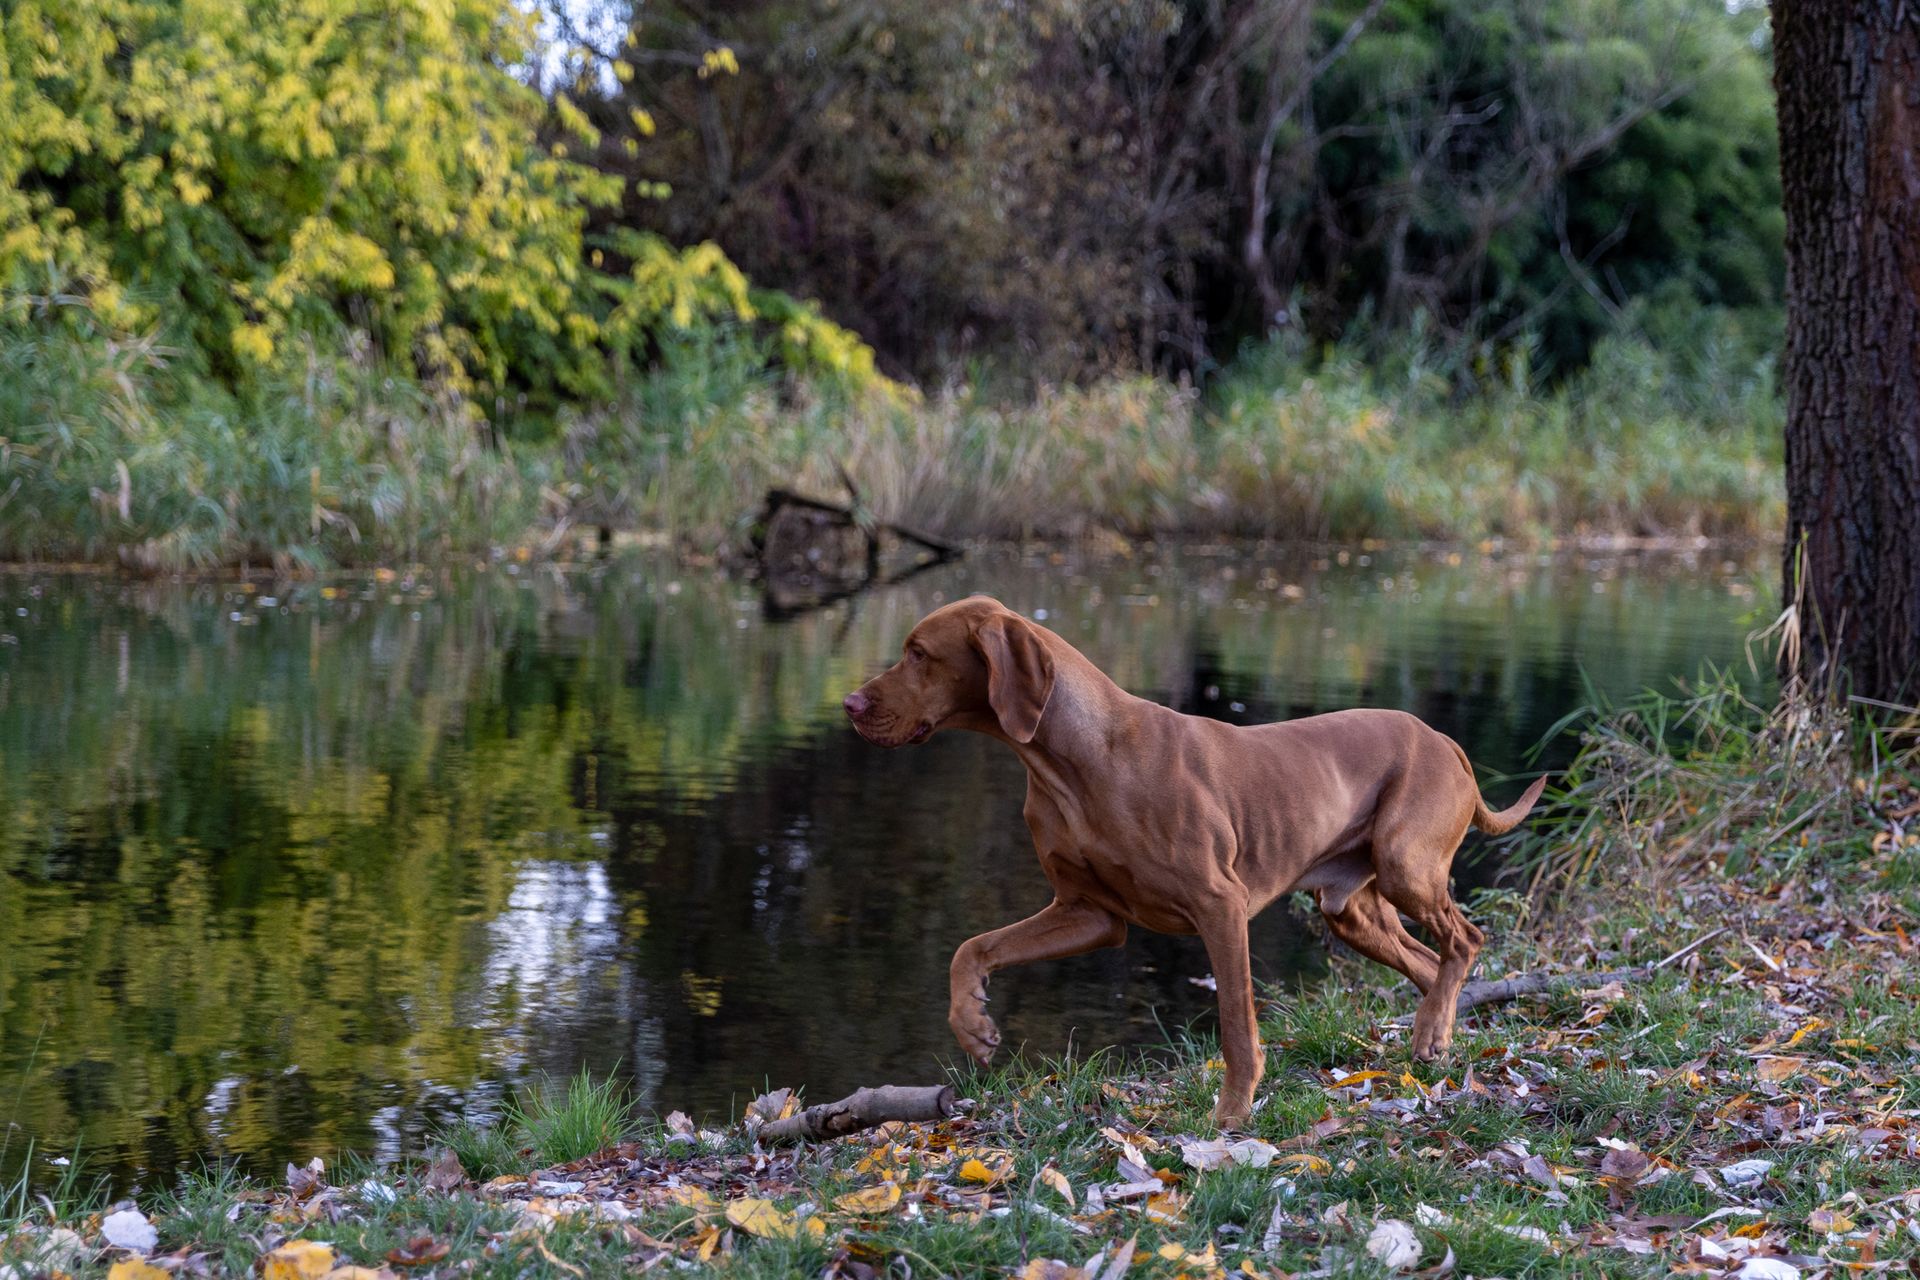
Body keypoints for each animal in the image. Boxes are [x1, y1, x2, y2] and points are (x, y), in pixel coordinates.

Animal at [843, 595, 1546, 1127]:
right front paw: (972, 1025)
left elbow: (1236, 1026)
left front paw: (1231, 1114)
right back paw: (1436, 1039)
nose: (850, 704)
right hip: (1350, 909)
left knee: (1465, 940)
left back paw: (1433, 1033)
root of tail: (1443, 740)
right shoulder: (1089, 914)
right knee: (1432, 964)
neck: (1073, 761)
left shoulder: (1220, 906)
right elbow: (972, 947)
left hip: (1405, 865)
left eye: (918, 653)